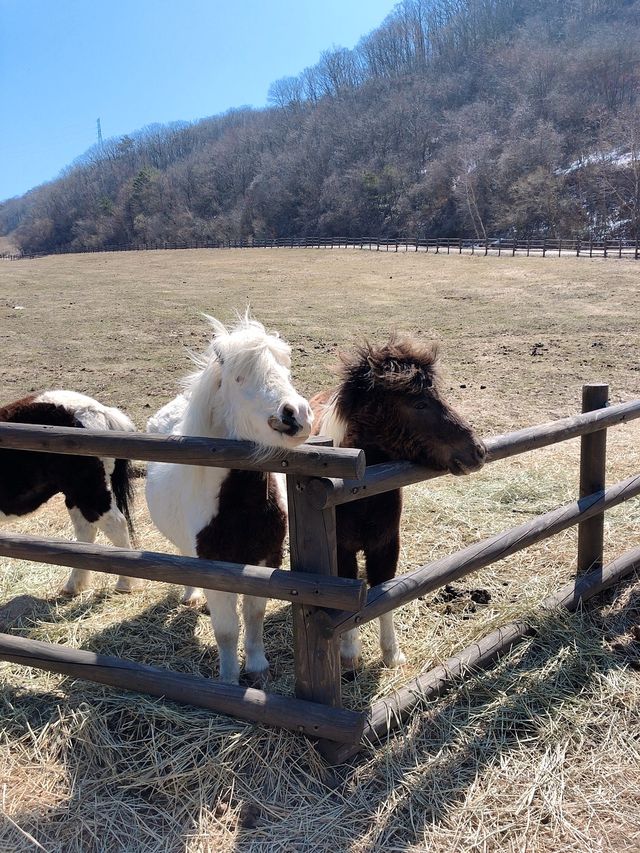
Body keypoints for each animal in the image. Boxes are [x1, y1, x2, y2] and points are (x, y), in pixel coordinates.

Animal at [0, 392, 142, 592]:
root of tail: (100, 411)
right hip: (75, 497)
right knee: (85, 532)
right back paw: (74, 585)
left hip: (89, 492)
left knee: (116, 525)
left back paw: (124, 584)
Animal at [146, 316, 316, 684]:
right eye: (240, 378)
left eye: (286, 370)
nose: (297, 414)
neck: (239, 509)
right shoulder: (214, 567)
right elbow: (226, 630)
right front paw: (227, 678)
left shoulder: (264, 560)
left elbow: (253, 616)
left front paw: (256, 667)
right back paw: (192, 597)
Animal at [310, 336, 484, 668]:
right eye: (419, 403)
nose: (479, 451)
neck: (359, 495)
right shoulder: (341, 549)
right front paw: (349, 653)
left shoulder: (386, 545)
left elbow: (385, 595)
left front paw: (392, 653)